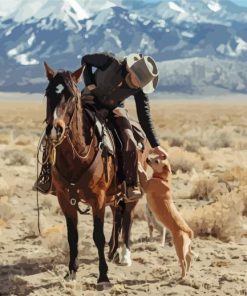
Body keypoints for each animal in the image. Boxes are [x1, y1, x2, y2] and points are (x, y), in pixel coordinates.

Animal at [42, 63, 151, 290]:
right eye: (48, 93)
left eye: (72, 96)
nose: (54, 129)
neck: (76, 156)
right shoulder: (64, 198)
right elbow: (72, 235)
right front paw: (71, 272)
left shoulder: (97, 198)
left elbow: (97, 236)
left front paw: (103, 277)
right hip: (113, 193)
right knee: (117, 214)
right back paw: (113, 250)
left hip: (129, 192)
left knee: (127, 217)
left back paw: (124, 254)